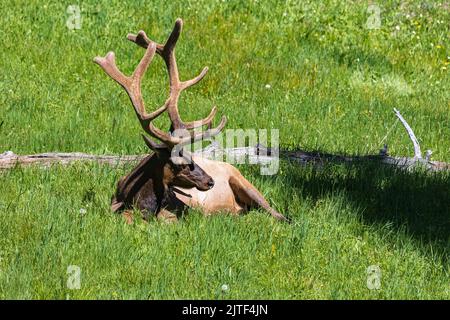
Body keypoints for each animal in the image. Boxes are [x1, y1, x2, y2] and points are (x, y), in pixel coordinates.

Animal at [93, 18, 290, 222]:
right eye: (181, 163)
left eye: (192, 157)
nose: (210, 181)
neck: (134, 199)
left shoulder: (179, 210)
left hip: (247, 185)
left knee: (278, 213)